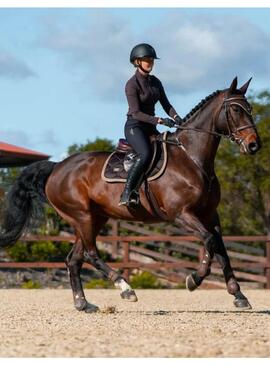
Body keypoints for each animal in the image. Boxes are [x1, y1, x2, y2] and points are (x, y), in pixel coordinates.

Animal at [0, 76, 262, 310]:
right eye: (236, 109)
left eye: (249, 108)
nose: (253, 145)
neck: (192, 159)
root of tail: (57, 167)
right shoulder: (182, 214)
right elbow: (209, 242)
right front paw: (194, 280)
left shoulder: (209, 215)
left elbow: (220, 248)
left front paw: (239, 295)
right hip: (82, 217)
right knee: (91, 254)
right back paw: (125, 288)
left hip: (93, 218)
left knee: (74, 259)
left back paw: (83, 304)